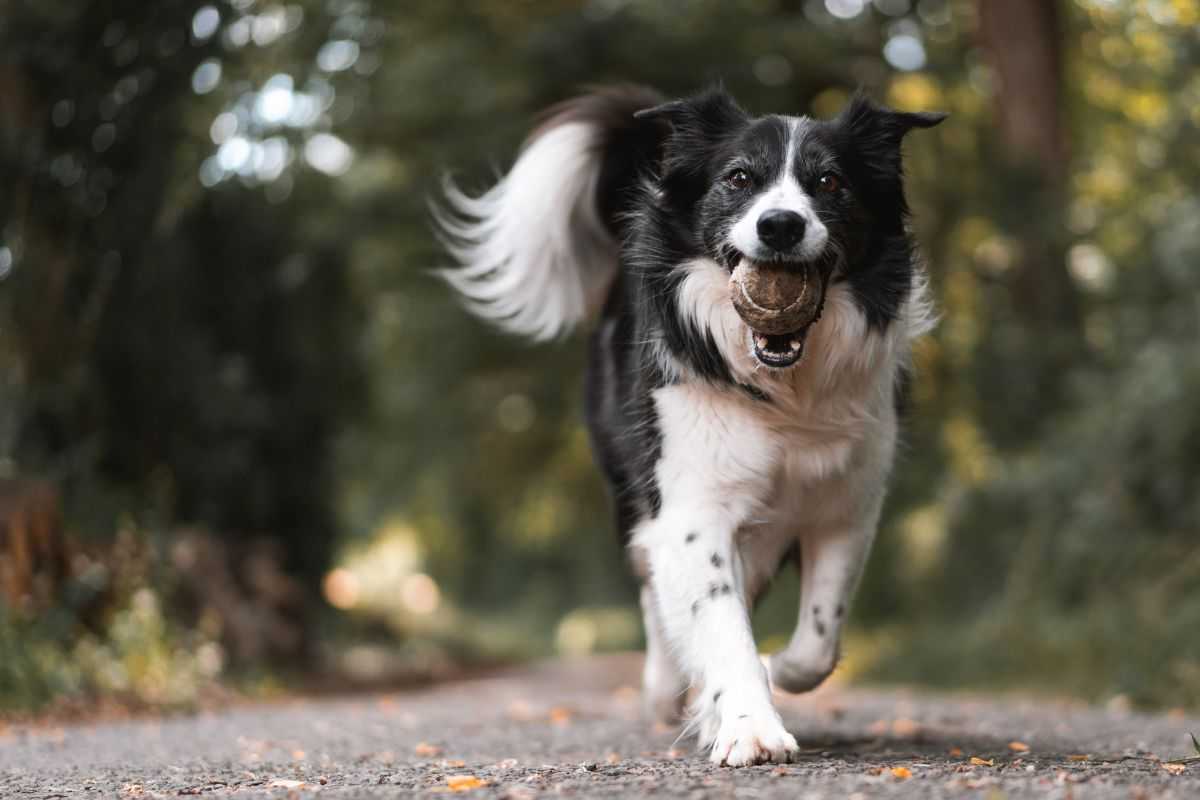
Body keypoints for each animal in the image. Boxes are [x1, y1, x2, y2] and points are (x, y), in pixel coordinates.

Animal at [434, 84, 945, 767]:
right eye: (738, 178)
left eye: (830, 182)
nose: (780, 224)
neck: (785, 389)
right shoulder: (691, 505)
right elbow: (718, 622)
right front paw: (750, 726)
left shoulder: (846, 505)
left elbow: (817, 640)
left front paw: (770, 675)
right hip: (633, 492)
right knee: (655, 593)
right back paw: (665, 690)